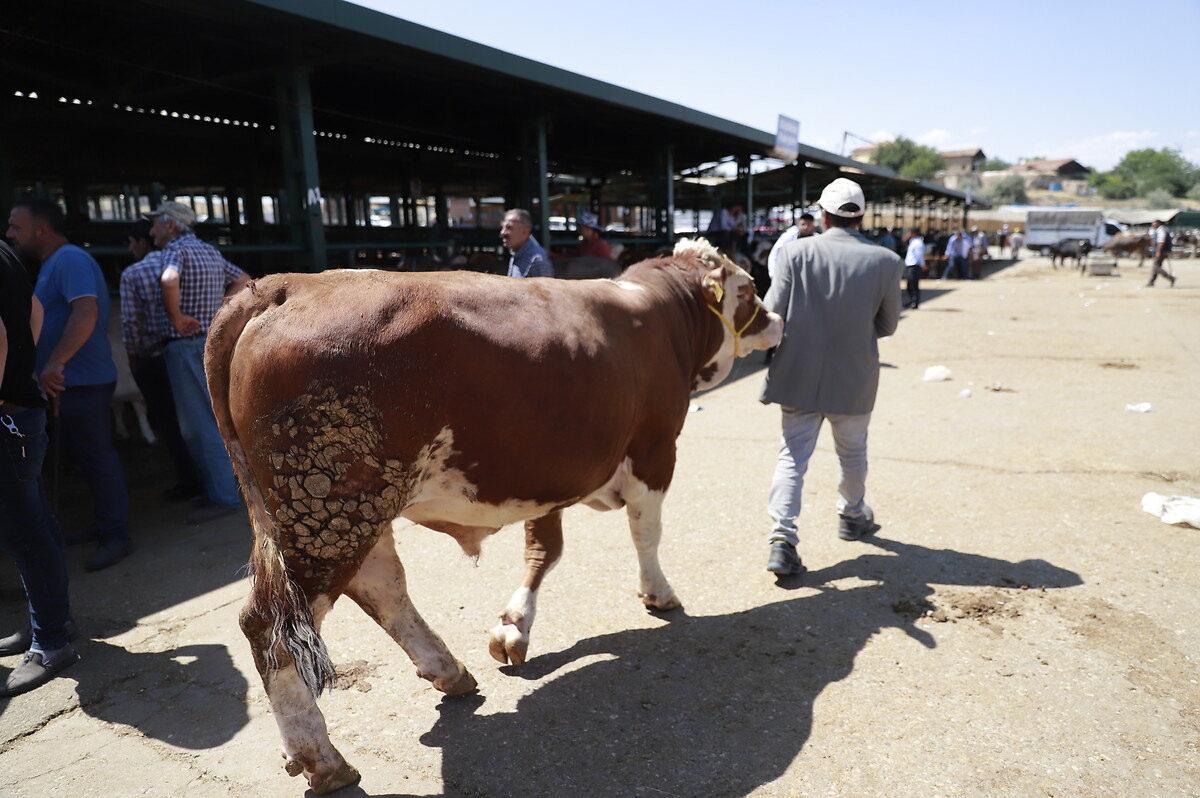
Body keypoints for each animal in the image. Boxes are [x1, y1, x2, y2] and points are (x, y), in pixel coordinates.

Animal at [204, 236, 787, 792]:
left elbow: (544, 549)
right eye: (749, 290)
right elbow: (647, 532)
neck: (659, 312)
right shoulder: (655, 447)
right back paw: (320, 758)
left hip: (344, 510)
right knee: (272, 625)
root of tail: (283, 285)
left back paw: (446, 671)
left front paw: (514, 627)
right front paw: (657, 593)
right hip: (326, 510)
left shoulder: (549, 476)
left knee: (382, 586)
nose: (778, 320)